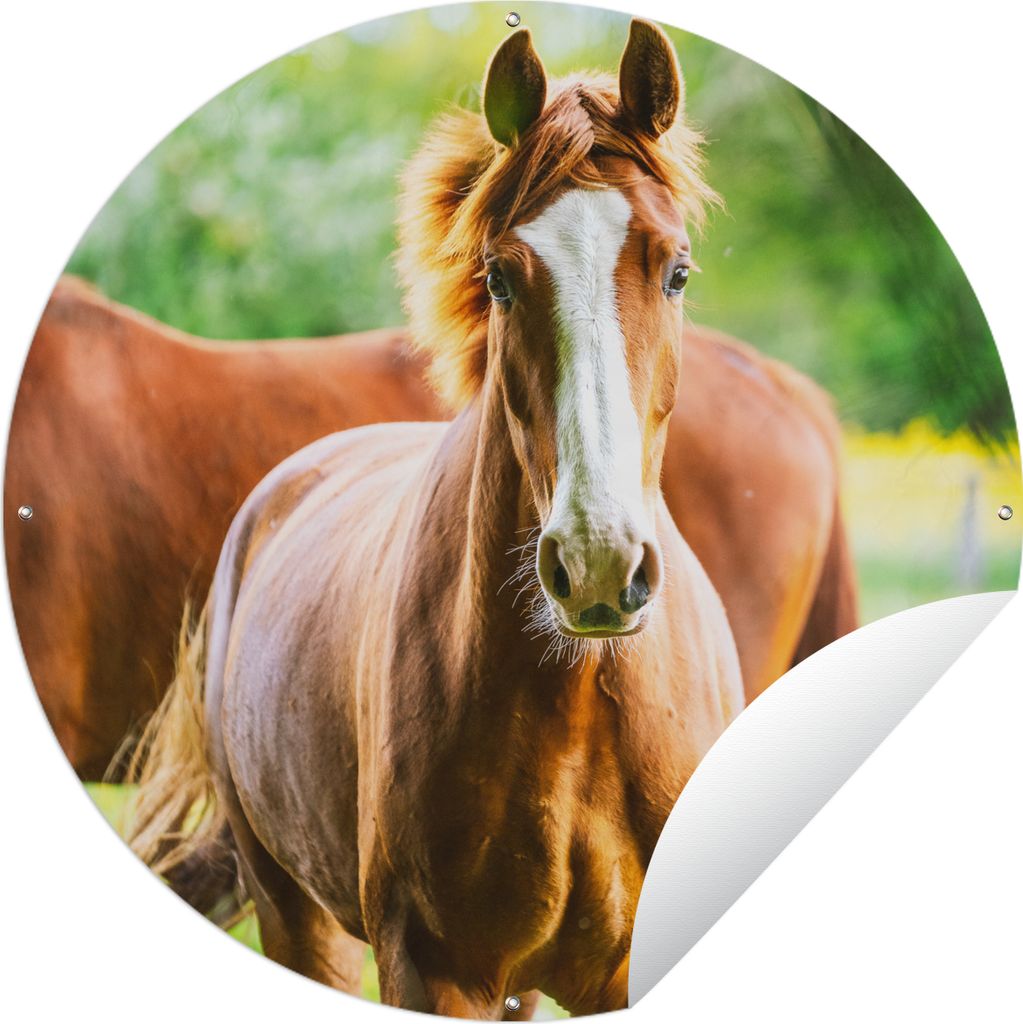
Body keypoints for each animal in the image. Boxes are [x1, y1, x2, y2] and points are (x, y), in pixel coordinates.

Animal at [127, 21, 753, 1017]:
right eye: (498, 277)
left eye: (677, 271)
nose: (598, 563)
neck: (578, 702)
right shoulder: (435, 968)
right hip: (297, 917)